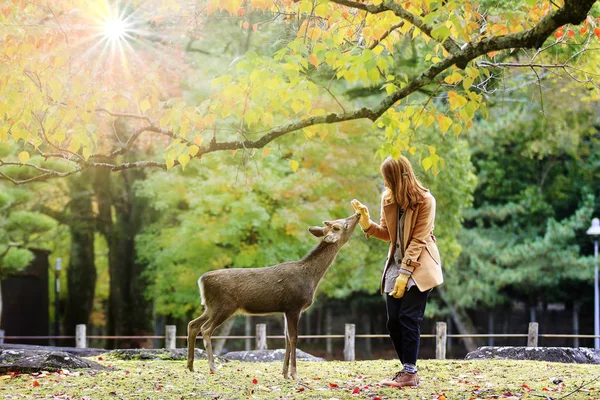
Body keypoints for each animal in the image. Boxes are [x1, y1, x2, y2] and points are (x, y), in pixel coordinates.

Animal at [185, 212, 358, 378]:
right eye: (342, 225)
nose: (357, 215)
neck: (310, 277)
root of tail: (202, 280)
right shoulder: (294, 305)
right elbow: (294, 338)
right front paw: (294, 374)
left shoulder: (286, 309)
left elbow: (286, 338)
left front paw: (285, 373)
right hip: (224, 305)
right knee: (206, 329)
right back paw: (212, 367)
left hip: (210, 307)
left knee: (193, 324)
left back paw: (191, 366)